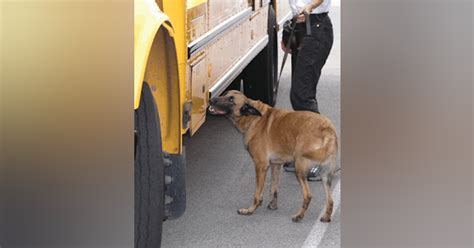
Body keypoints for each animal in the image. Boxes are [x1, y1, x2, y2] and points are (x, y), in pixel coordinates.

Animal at [208, 90, 336, 222]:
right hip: (325, 176)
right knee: (330, 200)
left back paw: (299, 215)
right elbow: (273, 189)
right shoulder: (275, 165)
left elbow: (257, 193)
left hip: (299, 169)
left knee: (308, 195)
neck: (254, 119)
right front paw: (273, 205)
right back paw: (326, 216)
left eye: (231, 100)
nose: (211, 100)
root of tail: (327, 128)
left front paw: (250, 210)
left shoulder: (261, 166)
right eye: (225, 94)